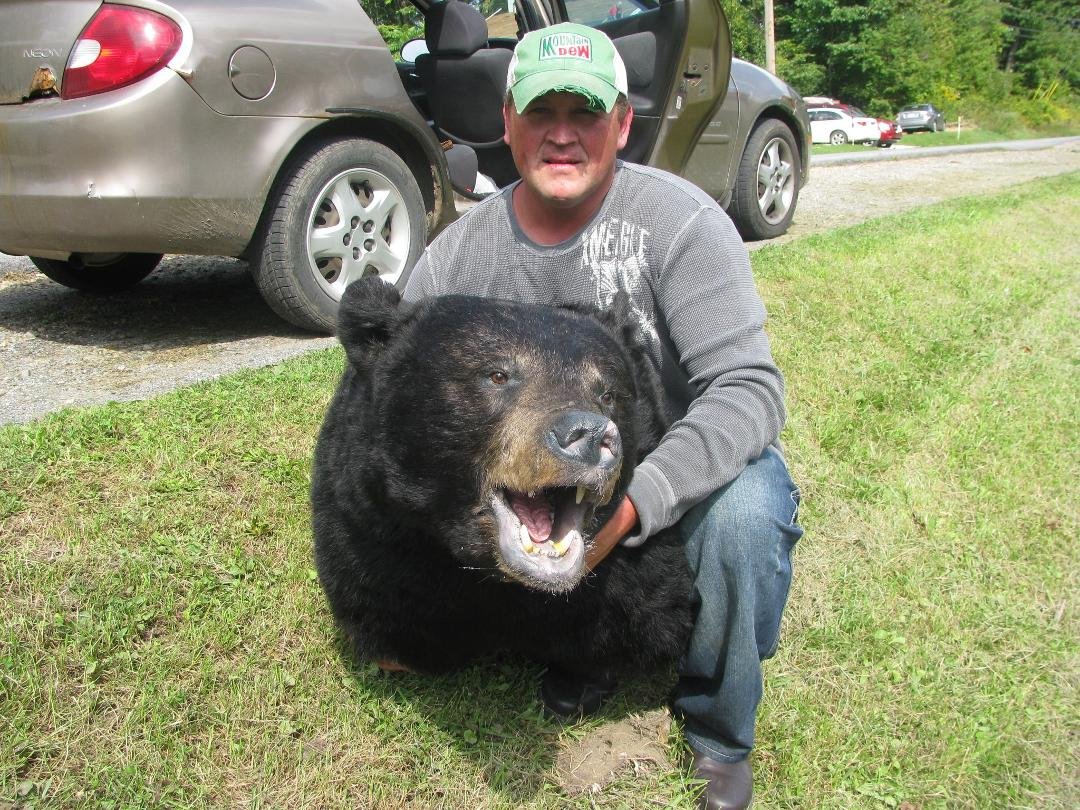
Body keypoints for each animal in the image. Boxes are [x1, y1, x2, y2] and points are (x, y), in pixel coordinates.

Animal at [311, 278, 693, 681]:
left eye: (607, 394)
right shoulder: (369, 530)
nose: (590, 436)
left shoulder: (629, 576)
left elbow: (642, 616)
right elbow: (386, 619)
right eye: (497, 375)